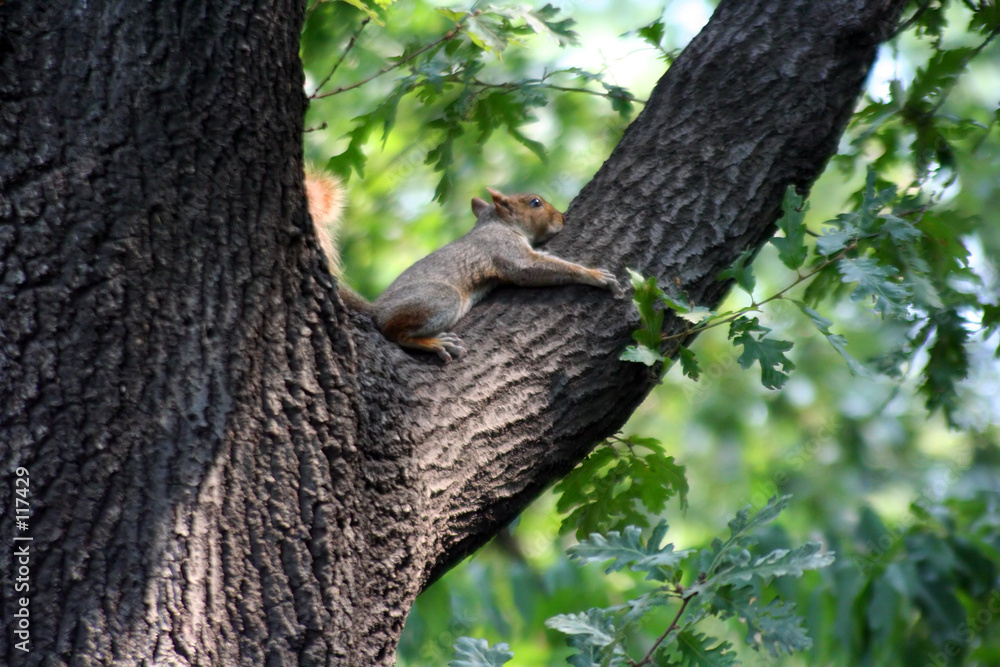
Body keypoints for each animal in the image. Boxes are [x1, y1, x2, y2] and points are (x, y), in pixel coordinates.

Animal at [304, 170, 616, 362]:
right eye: (535, 202)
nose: (563, 217)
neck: (498, 224)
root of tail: (377, 309)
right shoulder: (504, 250)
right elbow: (530, 268)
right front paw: (594, 274)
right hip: (441, 297)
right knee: (394, 332)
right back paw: (433, 343)